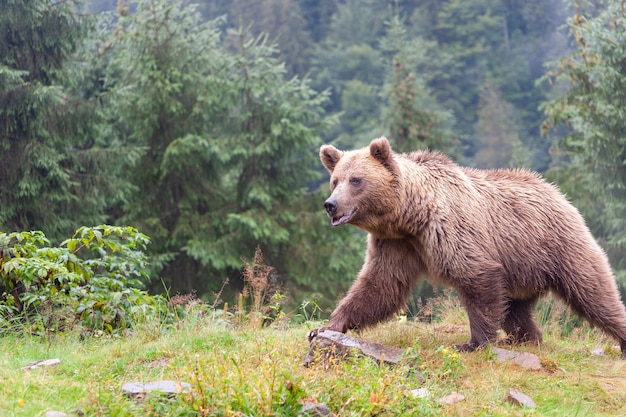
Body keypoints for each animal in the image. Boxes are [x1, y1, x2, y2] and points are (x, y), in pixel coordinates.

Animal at [310, 135, 624, 356]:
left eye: (356, 180)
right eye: (335, 180)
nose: (330, 205)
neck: (412, 217)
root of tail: (557, 191)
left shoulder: (451, 230)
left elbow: (476, 278)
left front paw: (473, 343)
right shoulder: (396, 244)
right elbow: (380, 285)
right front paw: (325, 326)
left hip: (558, 245)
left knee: (594, 293)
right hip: (521, 267)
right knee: (516, 309)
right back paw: (525, 338)